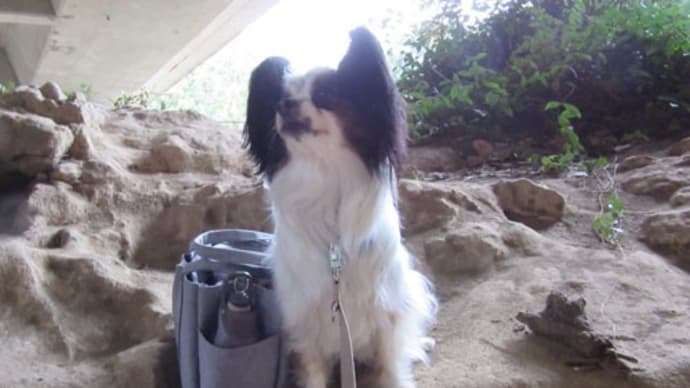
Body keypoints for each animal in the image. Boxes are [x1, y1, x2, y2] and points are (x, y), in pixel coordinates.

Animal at [242, 27, 436, 388]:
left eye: (326, 94)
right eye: (282, 96)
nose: (283, 104)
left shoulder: (387, 313)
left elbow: (391, 368)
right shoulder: (307, 321)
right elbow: (314, 373)